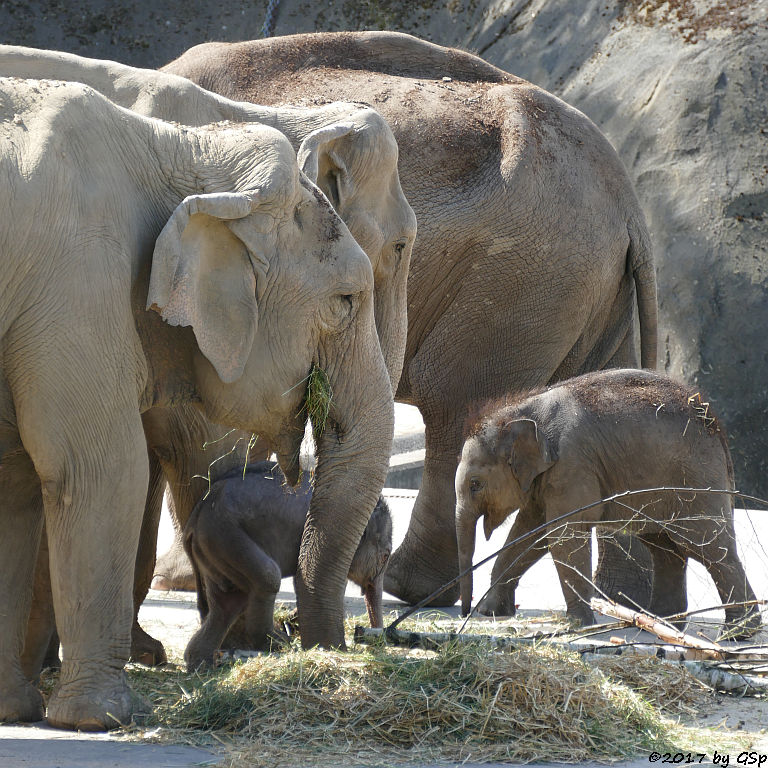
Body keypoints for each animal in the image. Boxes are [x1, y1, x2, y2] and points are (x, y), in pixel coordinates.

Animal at [165, 30, 656, 608]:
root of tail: (627, 200)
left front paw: (176, 578)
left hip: (522, 279)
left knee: (456, 405)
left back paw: (414, 587)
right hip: (585, 287)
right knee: (608, 402)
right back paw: (630, 601)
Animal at [184, 460, 392, 668]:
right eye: (385, 556)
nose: (373, 641)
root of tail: (194, 517)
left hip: (213, 548)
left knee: (228, 602)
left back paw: (201, 665)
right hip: (225, 536)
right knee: (268, 578)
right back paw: (279, 642)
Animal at [456, 366, 760, 636]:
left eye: (475, 485)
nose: (463, 612)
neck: (521, 411)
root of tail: (716, 426)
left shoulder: (573, 464)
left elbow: (563, 537)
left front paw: (576, 625)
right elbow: (527, 534)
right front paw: (491, 611)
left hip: (696, 481)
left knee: (707, 547)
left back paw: (736, 633)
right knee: (666, 549)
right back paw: (662, 623)